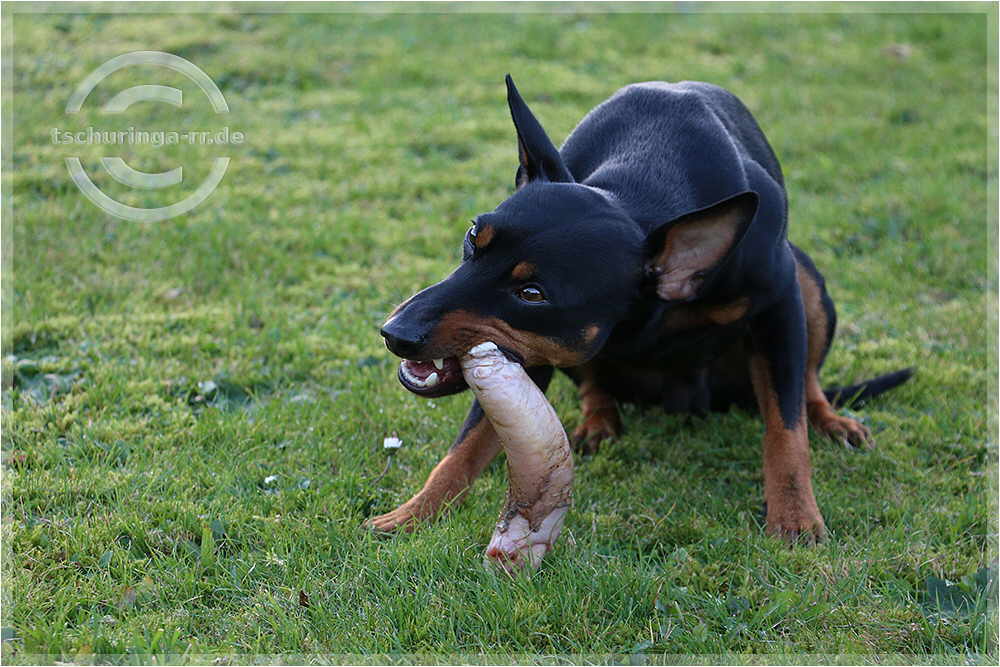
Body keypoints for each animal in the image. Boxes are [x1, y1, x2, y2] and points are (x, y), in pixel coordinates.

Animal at [371, 75, 912, 543]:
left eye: (533, 294)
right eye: (472, 237)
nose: (395, 331)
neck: (642, 184)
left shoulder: (779, 304)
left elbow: (786, 426)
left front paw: (795, 517)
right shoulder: (531, 355)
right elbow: (468, 444)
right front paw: (413, 514)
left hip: (805, 276)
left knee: (807, 384)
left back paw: (832, 420)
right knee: (594, 385)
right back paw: (599, 420)